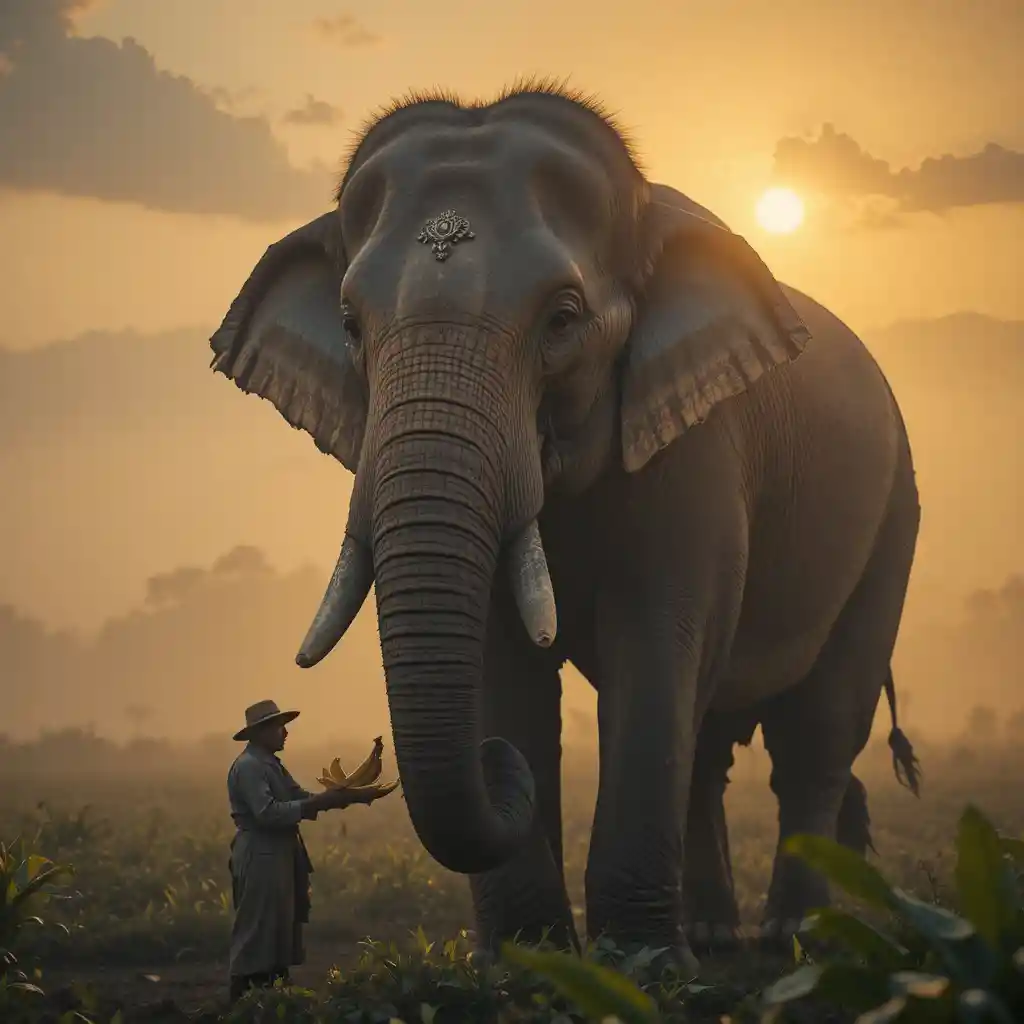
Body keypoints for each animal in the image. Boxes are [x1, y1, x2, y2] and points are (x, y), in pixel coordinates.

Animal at [208, 84, 922, 970]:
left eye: (563, 318)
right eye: (349, 324)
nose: (493, 762)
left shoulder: (696, 444)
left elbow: (655, 640)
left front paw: (639, 971)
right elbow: (502, 663)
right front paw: (529, 965)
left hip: (892, 517)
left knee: (815, 737)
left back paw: (797, 946)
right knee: (710, 744)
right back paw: (715, 937)